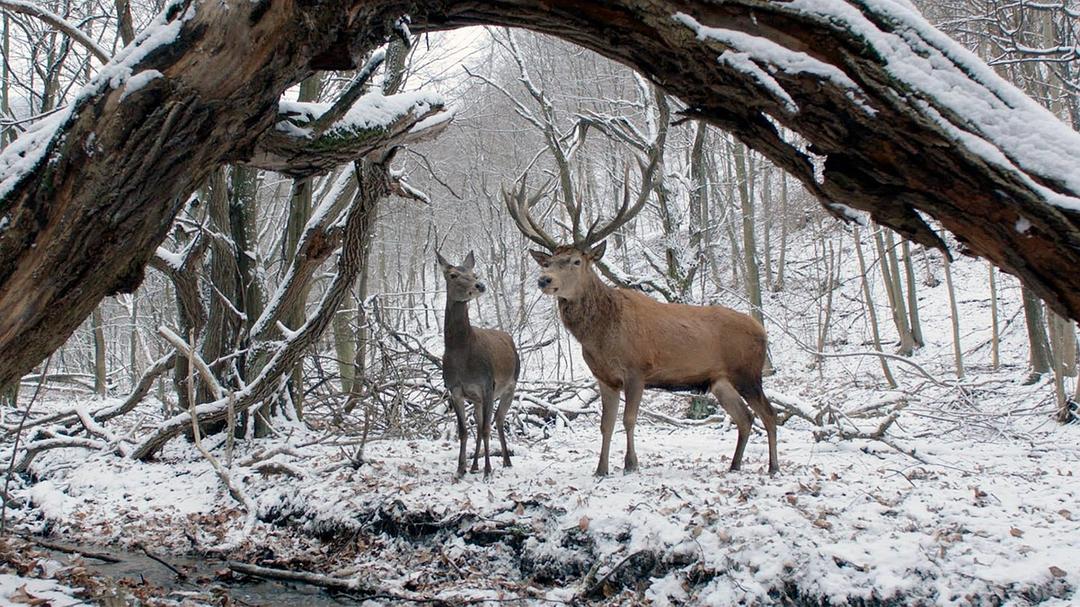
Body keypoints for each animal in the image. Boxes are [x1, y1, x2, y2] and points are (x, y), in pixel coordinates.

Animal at [438, 248, 522, 475]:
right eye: (453, 275)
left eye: (474, 274)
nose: (480, 285)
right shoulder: (455, 389)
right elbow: (464, 431)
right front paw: (461, 469)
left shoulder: (487, 384)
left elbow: (485, 429)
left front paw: (488, 471)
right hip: (477, 398)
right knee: (480, 424)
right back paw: (475, 464)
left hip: (510, 385)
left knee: (498, 421)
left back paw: (506, 461)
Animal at [505, 173, 777, 473]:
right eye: (549, 261)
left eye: (576, 261)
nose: (544, 280)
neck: (601, 336)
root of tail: (762, 330)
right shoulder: (604, 377)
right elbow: (606, 425)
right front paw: (601, 470)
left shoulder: (637, 369)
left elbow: (629, 419)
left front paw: (631, 464)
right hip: (720, 381)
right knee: (745, 418)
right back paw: (735, 465)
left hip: (748, 372)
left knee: (769, 414)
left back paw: (773, 467)